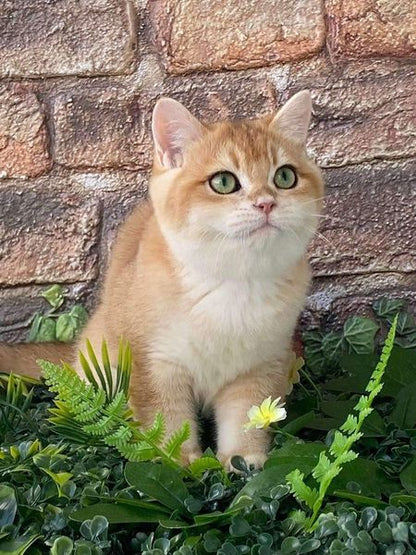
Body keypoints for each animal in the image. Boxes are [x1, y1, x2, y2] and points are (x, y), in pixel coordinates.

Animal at [0, 91, 324, 470]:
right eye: (224, 182)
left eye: (285, 176)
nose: (266, 203)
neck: (232, 282)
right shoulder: (153, 363)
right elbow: (164, 416)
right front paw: (177, 460)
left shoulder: (259, 367)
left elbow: (246, 415)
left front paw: (243, 459)